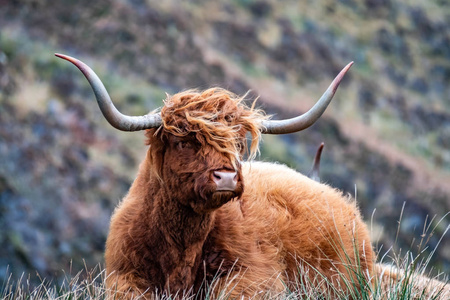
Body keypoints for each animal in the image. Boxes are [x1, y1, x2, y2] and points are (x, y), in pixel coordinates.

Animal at [56, 52, 374, 298]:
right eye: (183, 141)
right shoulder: (124, 275)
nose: (227, 178)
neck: (182, 244)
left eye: (237, 143)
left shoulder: (255, 275)